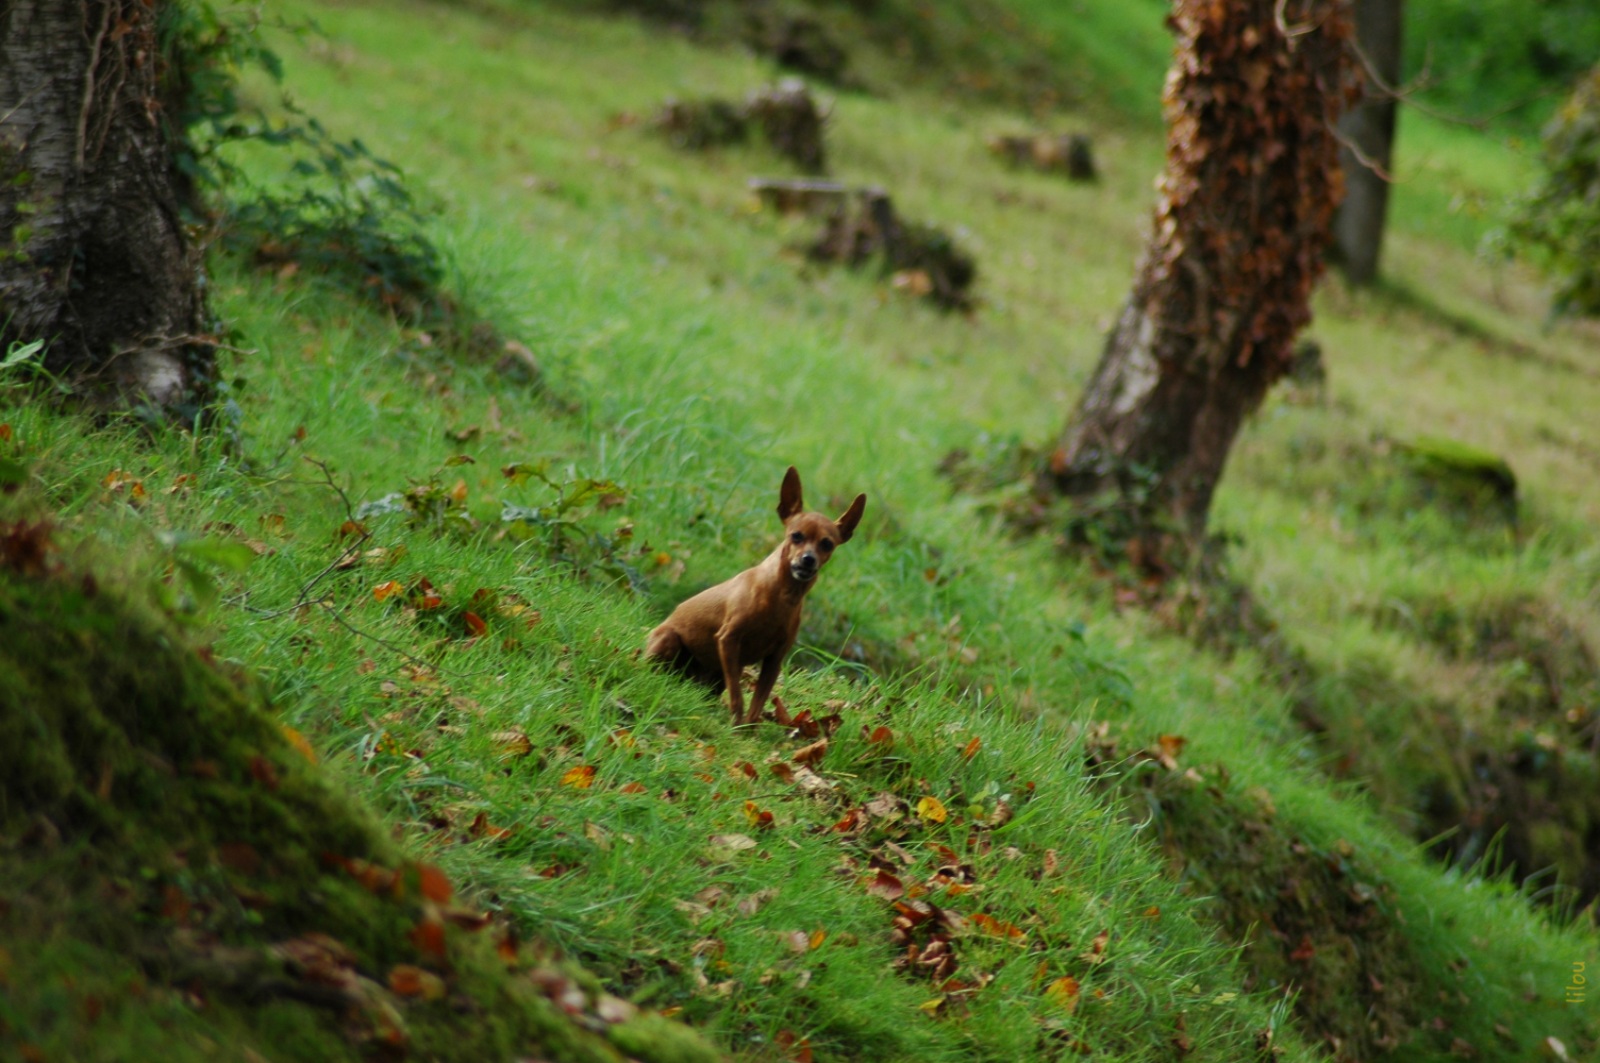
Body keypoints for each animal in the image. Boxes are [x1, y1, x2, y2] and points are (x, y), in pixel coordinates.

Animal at [643, 470, 864, 726]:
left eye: (827, 544)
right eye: (796, 536)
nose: (808, 559)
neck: (782, 596)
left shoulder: (774, 661)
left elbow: (758, 702)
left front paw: (747, 728)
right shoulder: (728, 640)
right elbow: (738, 696)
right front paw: (736, 723)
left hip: (716, 675)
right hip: (670, 640)